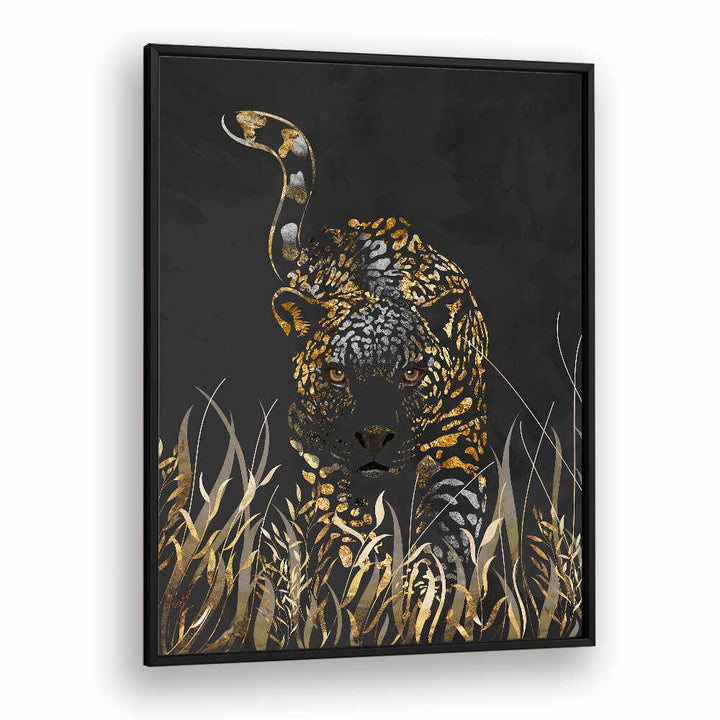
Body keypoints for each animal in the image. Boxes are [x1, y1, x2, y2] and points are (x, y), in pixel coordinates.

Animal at [222, 110, 490, 573]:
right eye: (335, 374)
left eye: (412, 374)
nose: (375, 436)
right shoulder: (326, 457)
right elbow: (341, 522)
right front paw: (354, 574)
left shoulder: (458, 442)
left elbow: (449, 523)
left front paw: (429, 577)